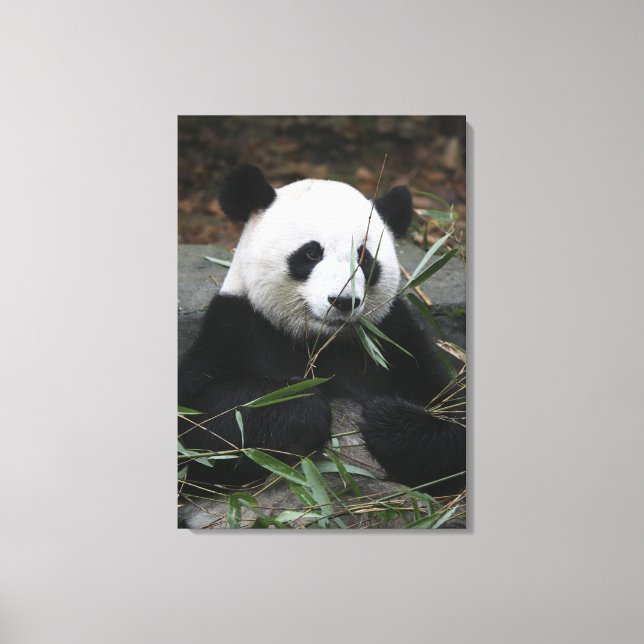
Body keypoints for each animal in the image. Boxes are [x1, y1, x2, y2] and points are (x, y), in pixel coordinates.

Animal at [178, 165, 465, 501]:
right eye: (311, 254)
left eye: (364, 257)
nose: (342, 301)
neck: (321, 342)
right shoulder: (236, 327)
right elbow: (201, 423)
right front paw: (302, 405)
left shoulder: (394, 338)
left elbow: (453, 416)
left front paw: (384, 418)